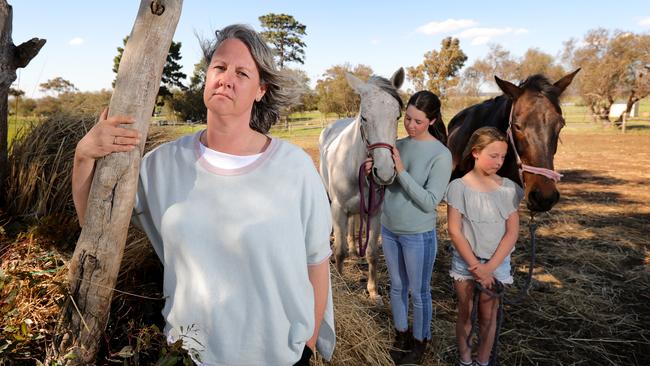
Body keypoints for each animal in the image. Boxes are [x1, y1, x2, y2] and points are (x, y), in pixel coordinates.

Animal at [318, 68, 402, 304]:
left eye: (397, 116)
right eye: (364, 117)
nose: (384, 172)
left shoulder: (375, 212)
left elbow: (372, 253)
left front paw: (373, 291)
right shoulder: (338, 208)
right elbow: (339, 251)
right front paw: (341, 281)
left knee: (354, 223)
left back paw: (356, 249)